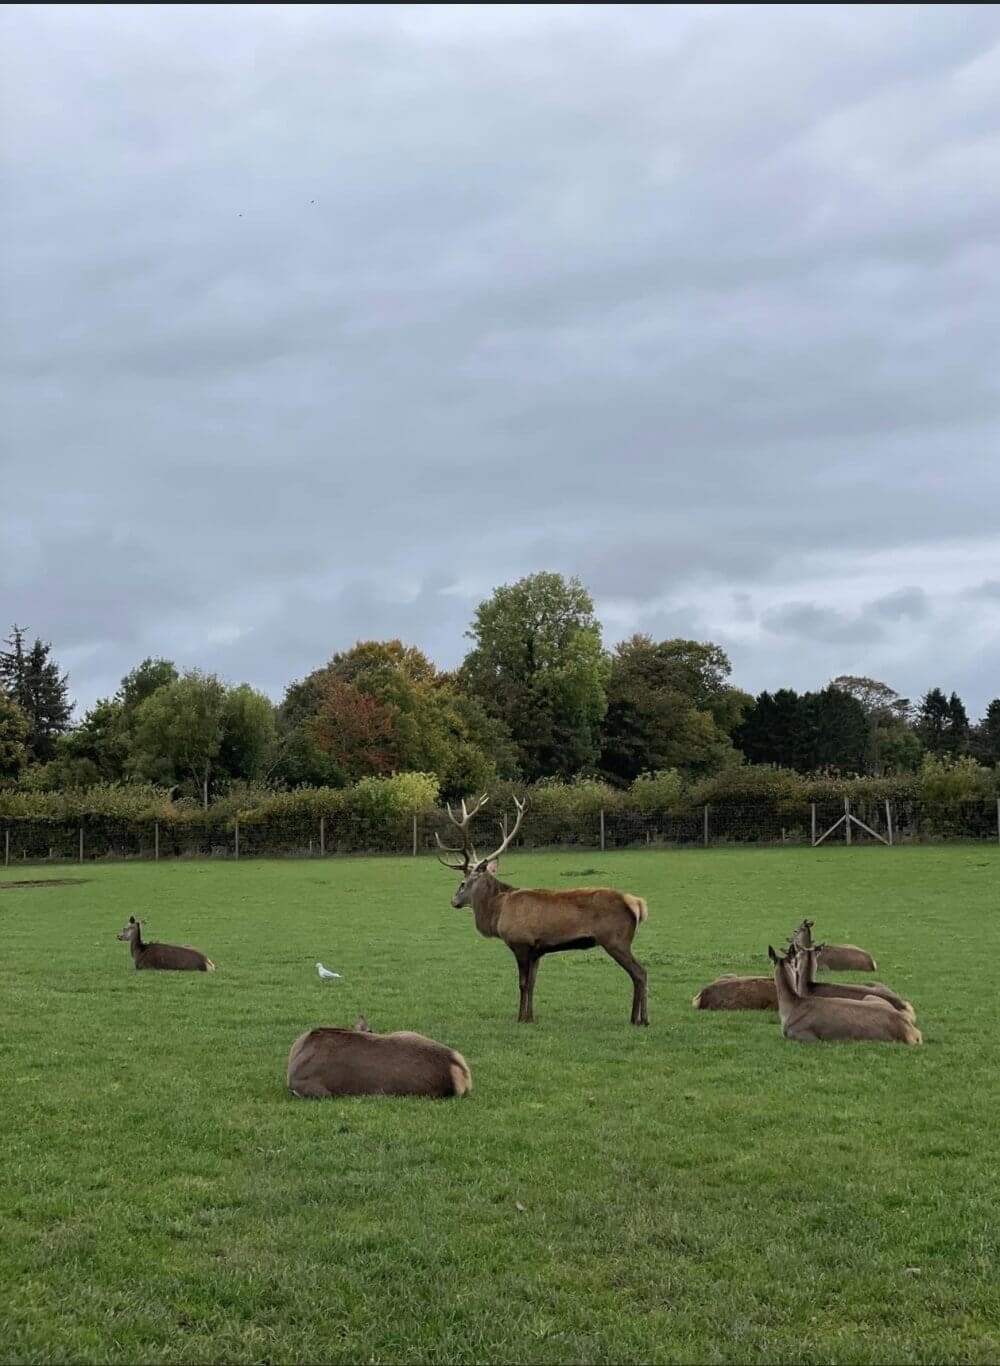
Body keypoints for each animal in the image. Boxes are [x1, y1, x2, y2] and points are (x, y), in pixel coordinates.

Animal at [437, 795, 649, 1025]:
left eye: (462, 883)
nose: (453, 901)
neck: (497, 911)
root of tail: (636, 903)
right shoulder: (537, 950)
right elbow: (532, 983)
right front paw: (530, 1016)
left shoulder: (520, 942)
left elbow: (522, 983)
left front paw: (520, 1017)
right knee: (639, 973)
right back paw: (637, 1018)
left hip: (616, 940)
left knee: (640, 973)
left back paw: (640, 1019)